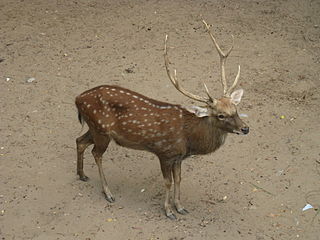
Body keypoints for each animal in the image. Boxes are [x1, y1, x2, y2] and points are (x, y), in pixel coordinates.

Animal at [75, 20, 250, 219]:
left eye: (236, 109)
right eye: (221, 115)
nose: (245, 128)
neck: (189, 138)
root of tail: (77, 99)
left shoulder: (178, 157)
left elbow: (179, 179)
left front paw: (180, 207)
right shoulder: (164, 152)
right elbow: (167, 182)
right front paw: (168, 211)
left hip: (94, 127)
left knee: (79, 141)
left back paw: (82, 175)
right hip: (101, 130)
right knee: (96, 153)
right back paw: (108, 193)